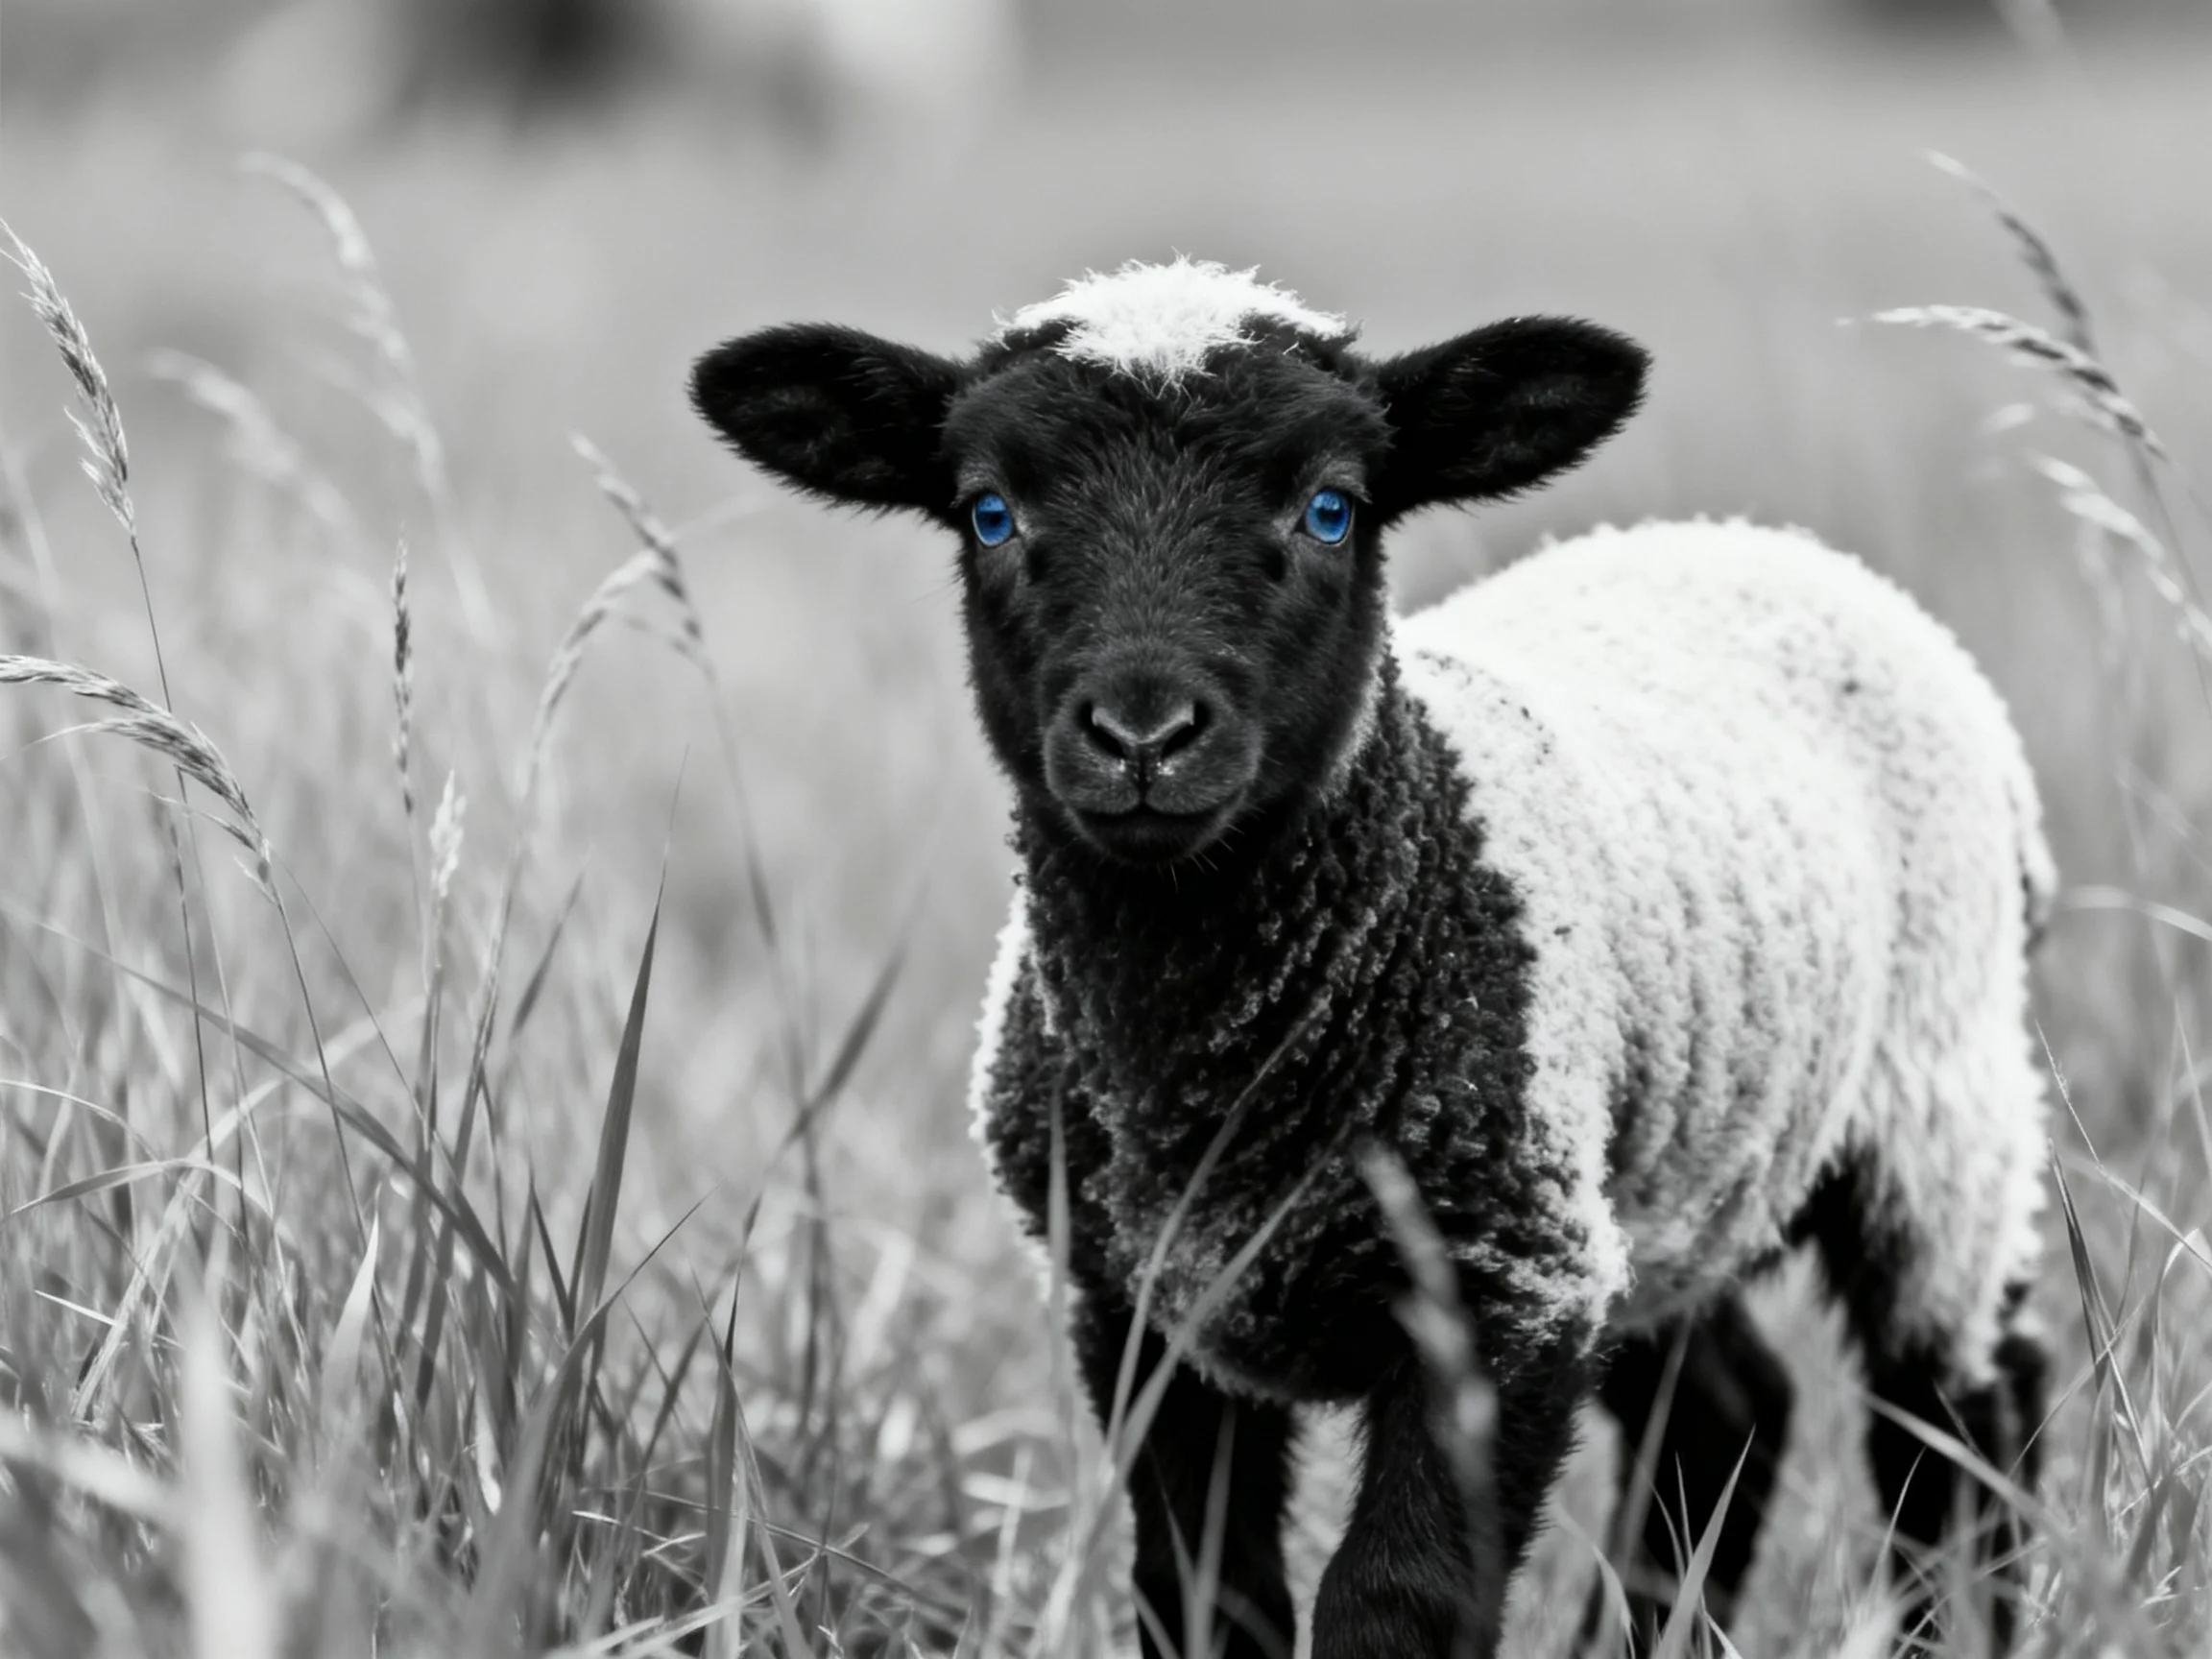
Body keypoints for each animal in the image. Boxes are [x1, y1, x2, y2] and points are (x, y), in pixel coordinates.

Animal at [689, 257, 2053, 1659]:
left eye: (1332, 507)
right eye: (989, 511)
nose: (1143, 735)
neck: (1218, 1068)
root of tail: (1751, 538)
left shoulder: (1503, 1291)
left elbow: (1394, 1602)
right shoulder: (1142, 1309)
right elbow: (1203, 1594)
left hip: (1941, 1098)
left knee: (1961, 1417)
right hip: (1663, 1173)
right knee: (1729, 1408)